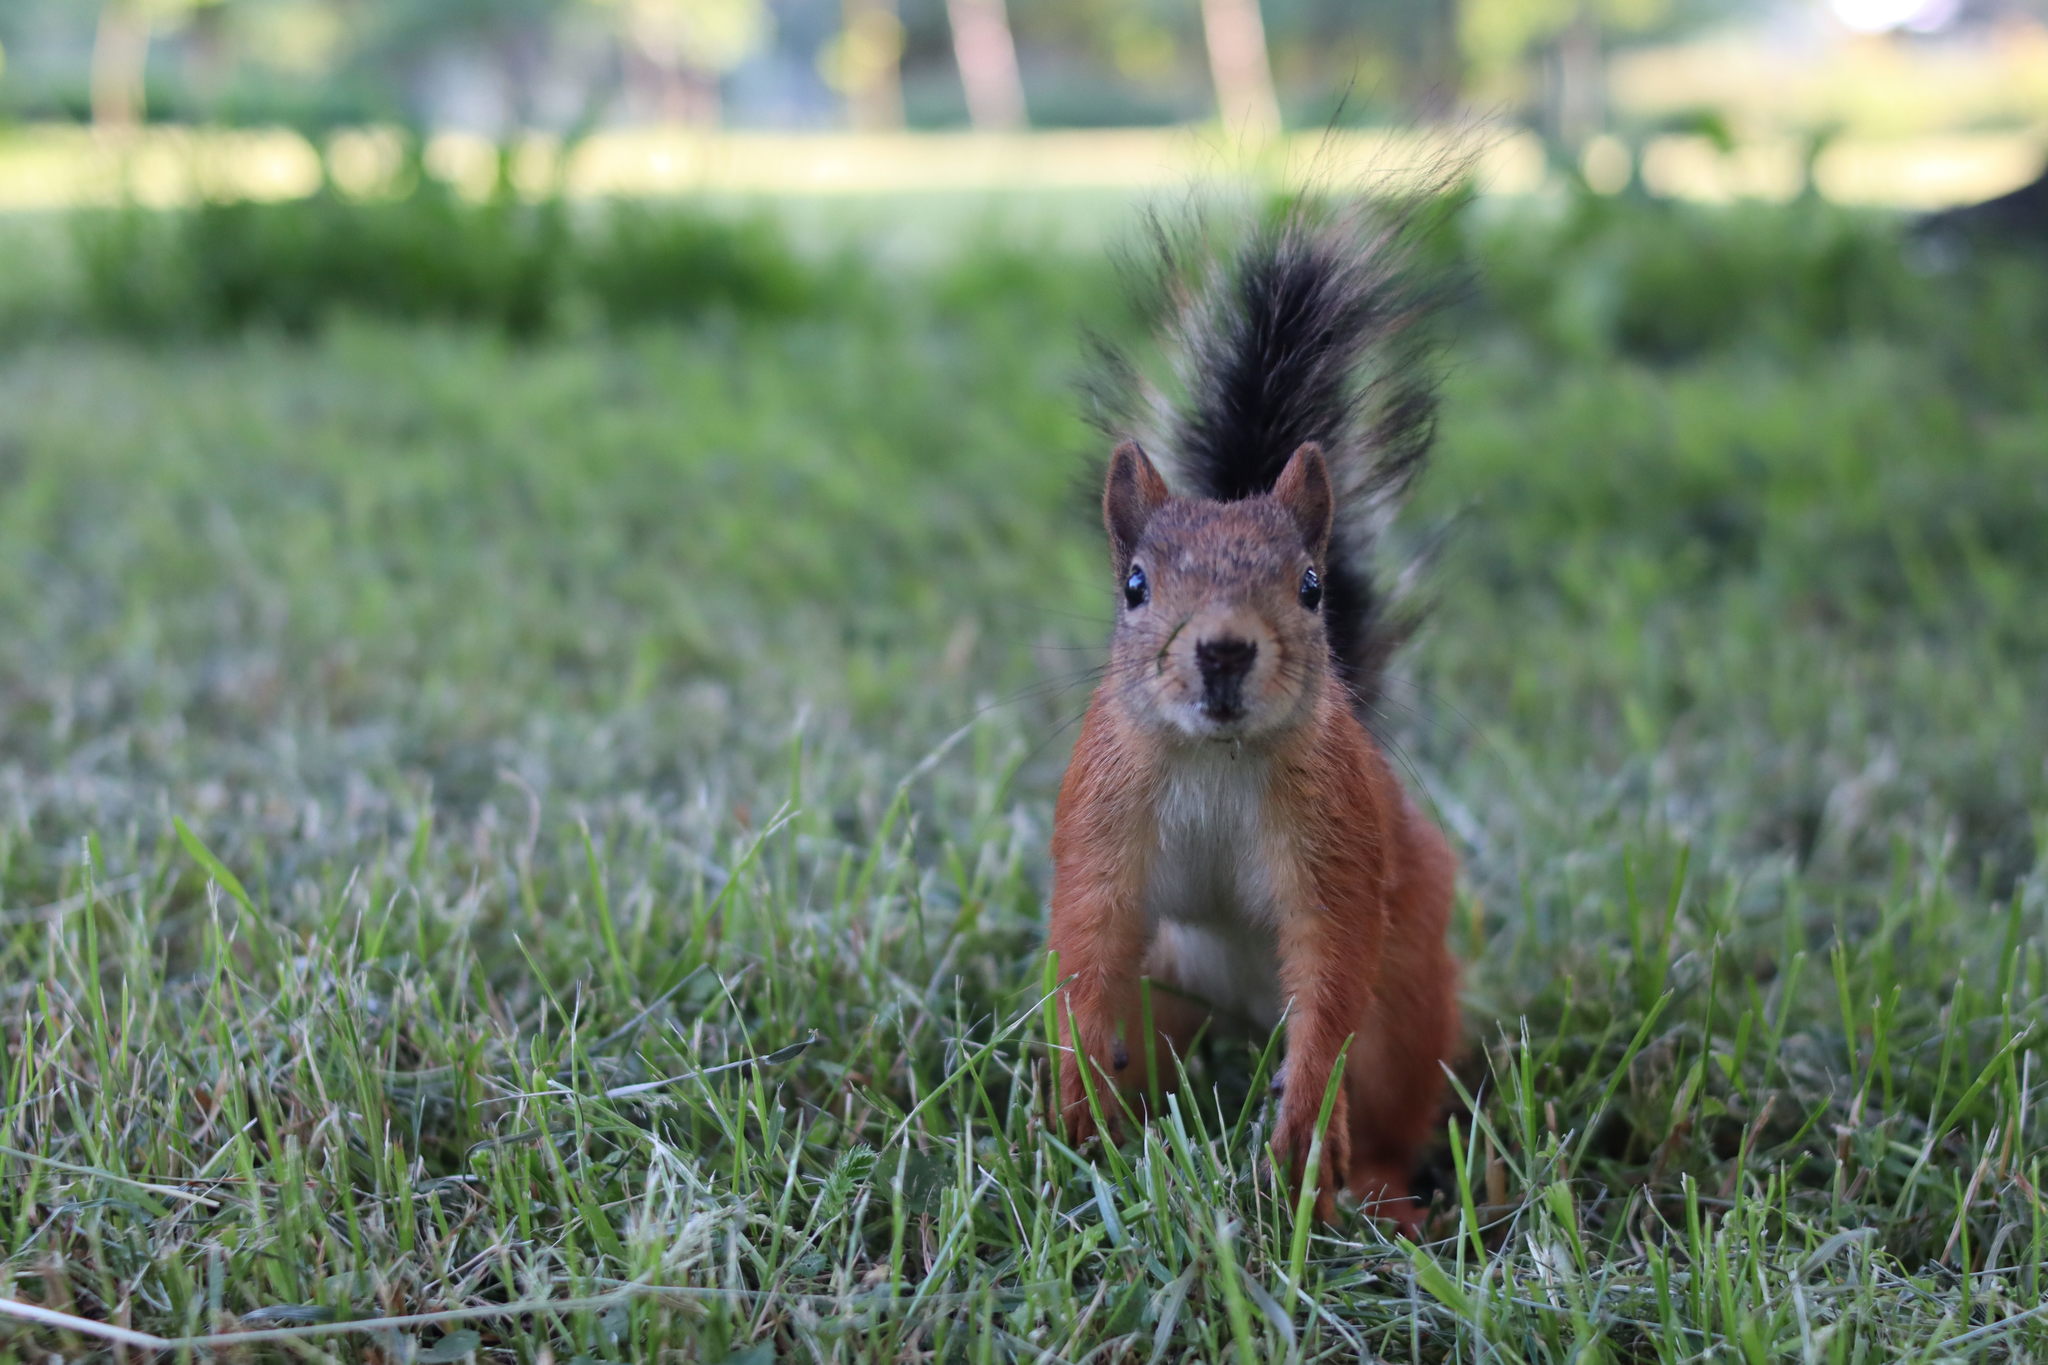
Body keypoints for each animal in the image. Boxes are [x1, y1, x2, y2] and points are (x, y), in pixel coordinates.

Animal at [1048, 197, 1466, 1236]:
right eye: (1134, 585)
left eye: (1311, 586)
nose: (1225, 651)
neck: (1216, 758)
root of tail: (1239, 1017)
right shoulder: (1100, 822)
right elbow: (1086, 943)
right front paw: (1076, 1104)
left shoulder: (1339, 839)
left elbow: (1332, 968)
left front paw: (1303, 1131)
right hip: (1164, 998)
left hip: (1406, 1012)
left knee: (1387, 1093)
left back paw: (1377, 1191)